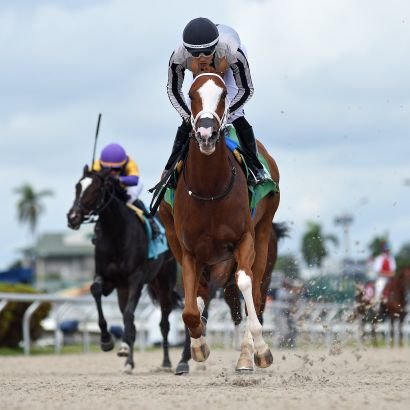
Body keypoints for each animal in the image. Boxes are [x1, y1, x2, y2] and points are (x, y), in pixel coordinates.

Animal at [67, 165, 179, 374]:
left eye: (95, 189)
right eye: (77, 187)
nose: (72, 218)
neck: (116, 234)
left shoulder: (136, 279)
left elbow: (129, 314)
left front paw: (124, 347)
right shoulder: (107, 278)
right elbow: (96, 291)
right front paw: (106, 341)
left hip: (163, 283)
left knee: (164, 323)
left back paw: (167, 362)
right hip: (123, 290)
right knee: (133, 324)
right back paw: (129, 363)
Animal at [159, 72, 280, 370]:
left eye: (224, 94)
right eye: (191, 94)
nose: (206, 134)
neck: (209, 189)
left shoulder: (244, 239)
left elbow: (246, 285)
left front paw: (260, 350)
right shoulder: (189, 250)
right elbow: (190, 309)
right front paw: (198, 346)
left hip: (263, 233)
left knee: (254, 293)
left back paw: (248, 355)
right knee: (202, 294)